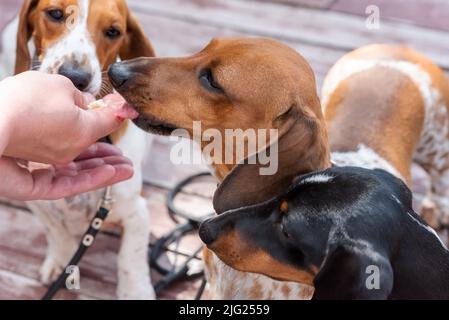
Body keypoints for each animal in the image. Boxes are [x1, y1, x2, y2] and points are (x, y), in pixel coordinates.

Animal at [0, 0, 156, 300]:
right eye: (56, 13)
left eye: (113, 31)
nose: (75, 77)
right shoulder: (40, 204)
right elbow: (57, 234)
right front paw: (61, 262)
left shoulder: (136, 210)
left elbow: (130, 258)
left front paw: (135, 291)